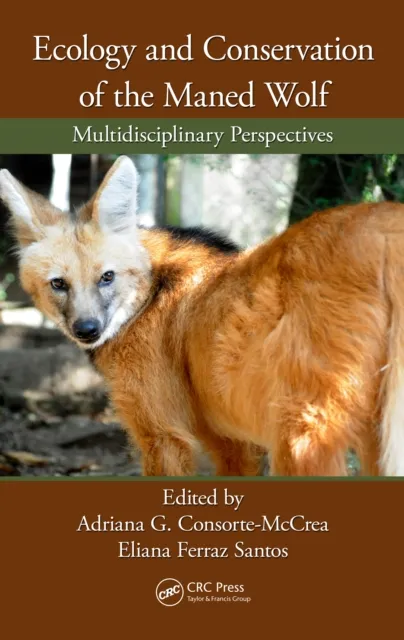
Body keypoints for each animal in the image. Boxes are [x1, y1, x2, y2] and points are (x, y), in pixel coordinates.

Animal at [1, 155, 404, 476]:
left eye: (107, 277)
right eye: (59, 284)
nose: (87, 329)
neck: (148, 293)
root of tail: (386, 227)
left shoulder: (163, 434)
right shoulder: (230, 441)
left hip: (301, 433)